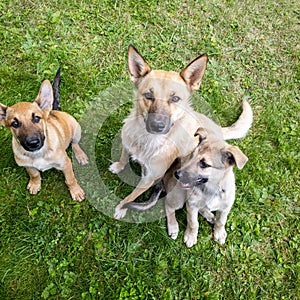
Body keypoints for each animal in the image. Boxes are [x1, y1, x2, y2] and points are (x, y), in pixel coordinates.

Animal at [0, 71, 88, 200]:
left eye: (36, 118)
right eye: (14, 123)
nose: (33, 143)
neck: (38, 154)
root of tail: (54, 111)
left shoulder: (65, 163)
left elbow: (70, 179)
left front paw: (75, 191)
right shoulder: (27, 165)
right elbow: (34, 174)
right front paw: (35, 184)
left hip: (76, 129)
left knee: (75, 143)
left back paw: (80, 155)